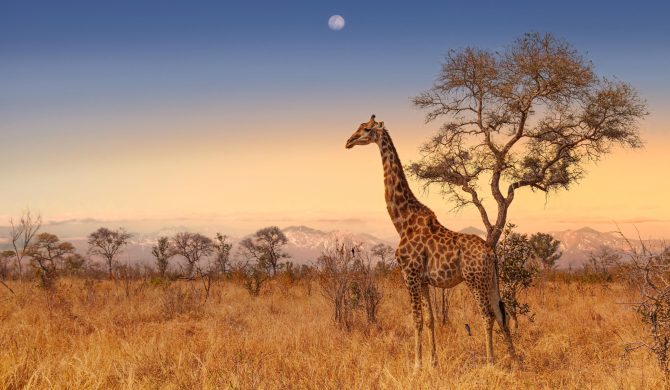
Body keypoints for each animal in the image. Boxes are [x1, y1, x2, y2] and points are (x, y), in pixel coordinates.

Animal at [344, 115, 516, 368]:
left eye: (366, 129)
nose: (348, 141)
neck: (402, 221)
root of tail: (491, 253)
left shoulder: (410, 273)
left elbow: (416, 319)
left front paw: (417, 365)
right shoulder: (424, 280)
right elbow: (430, 320)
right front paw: (433, 363)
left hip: (475, 280)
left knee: (487, 315)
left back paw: (490, 362)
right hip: (491, 279)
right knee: (502, 313)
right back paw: (516, 360)